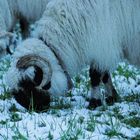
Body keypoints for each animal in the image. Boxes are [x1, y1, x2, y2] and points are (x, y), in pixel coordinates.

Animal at [4, 0, 140, 111]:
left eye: (28, 84)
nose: (36, 109)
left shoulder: (103, 42)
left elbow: (95, 75)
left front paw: (94, 102)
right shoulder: (103, 48)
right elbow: (105, 75)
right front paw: (112, 97)